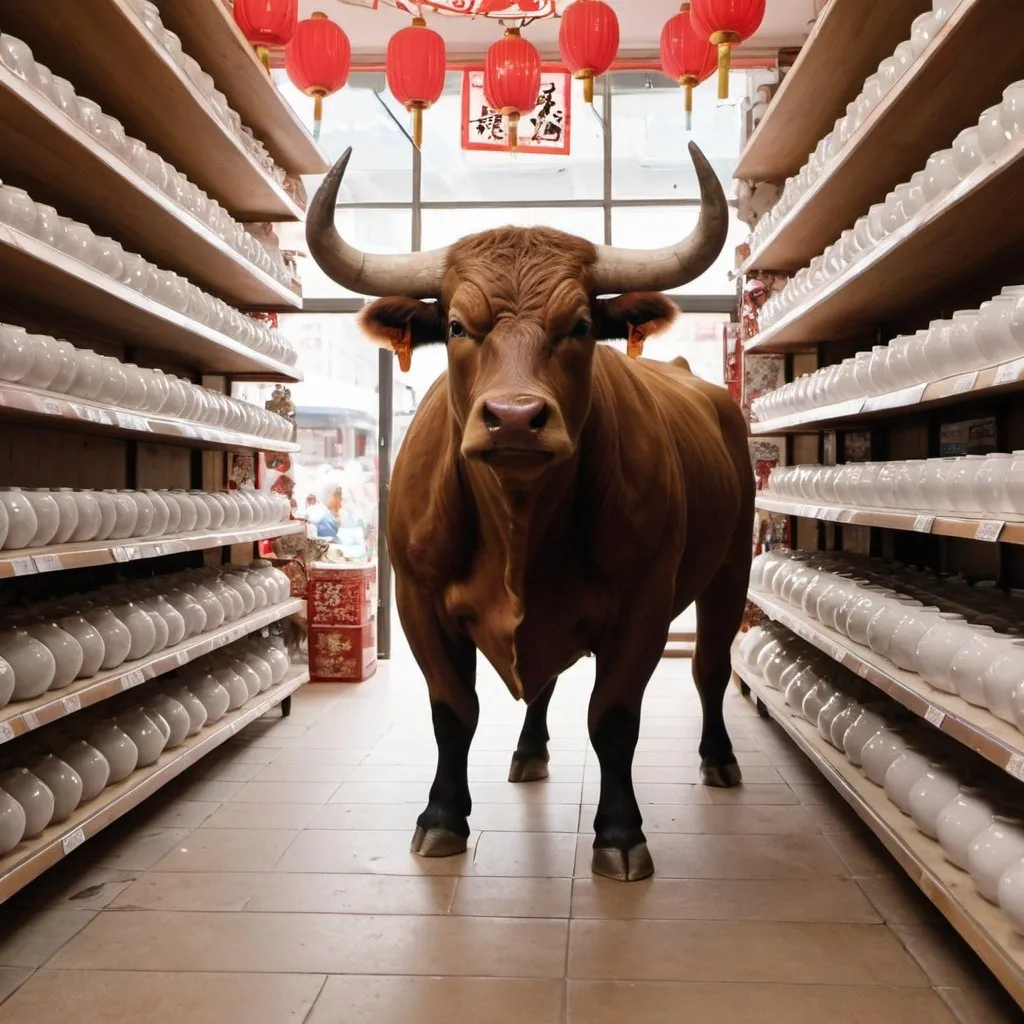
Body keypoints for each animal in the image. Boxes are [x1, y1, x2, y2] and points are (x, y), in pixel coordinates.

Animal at [303, 142, 753, 880]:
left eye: (580, 326)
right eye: (457, 326)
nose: (515, 418)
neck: (519, 527)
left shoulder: (644, 606)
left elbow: (614, 718)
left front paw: (620, 831)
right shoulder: (418, 603)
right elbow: (453, 713)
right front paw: (441, 816)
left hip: (731, 569)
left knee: (710, 667)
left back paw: (719, 759)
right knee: (542, 680)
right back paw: (529, 750)